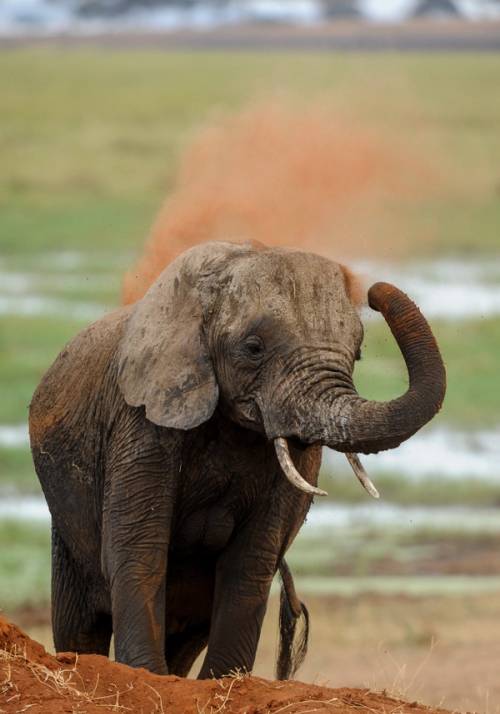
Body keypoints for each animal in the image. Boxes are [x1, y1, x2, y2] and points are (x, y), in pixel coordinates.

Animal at [29, 240, 445, 679]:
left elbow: (250, 562)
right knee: (80, 622)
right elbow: (138, 548)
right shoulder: (140, 423)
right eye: (253, 348)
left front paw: (221, 682)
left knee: (188, 633)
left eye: (359, 353)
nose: (375, 291)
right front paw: (147, 677)